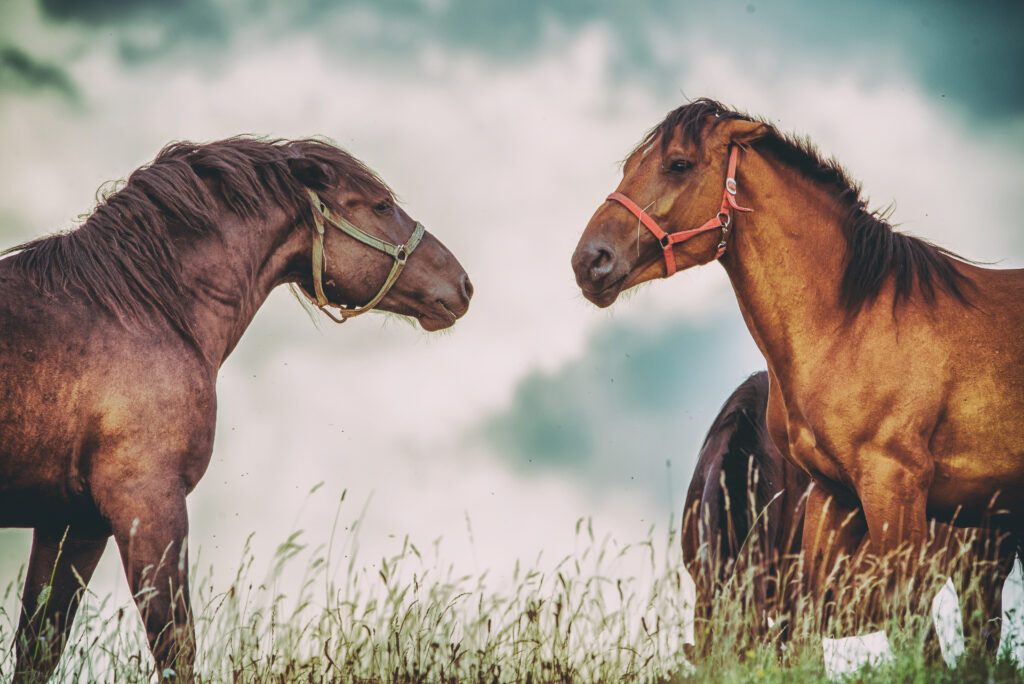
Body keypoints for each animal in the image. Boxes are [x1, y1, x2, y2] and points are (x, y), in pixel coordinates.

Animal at [0, 136, 471, 679]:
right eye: (380, 205)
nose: (463, 285)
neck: (135, 312)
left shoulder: (72, 522)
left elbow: (39, 649)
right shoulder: (147, 504)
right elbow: (175, 646)